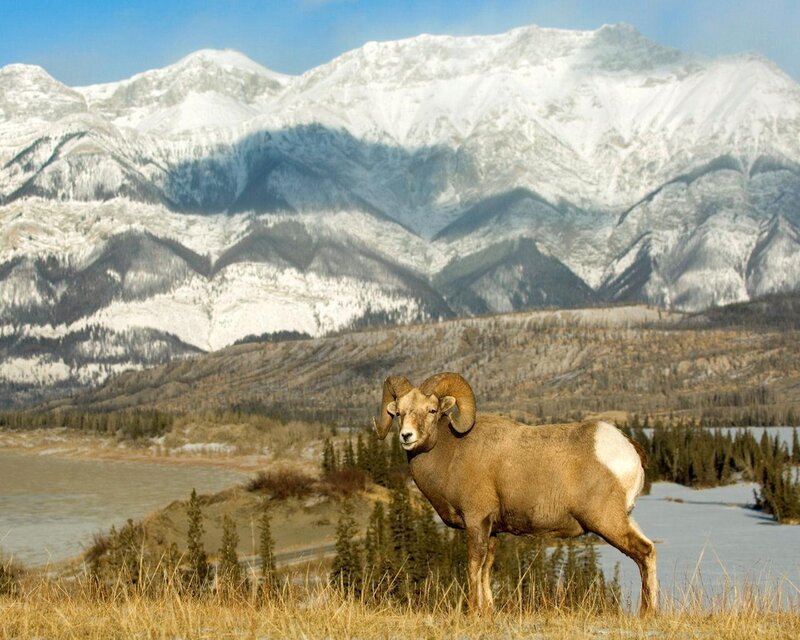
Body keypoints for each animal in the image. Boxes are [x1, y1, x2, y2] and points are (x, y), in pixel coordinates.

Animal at [373, 372, 657, 615]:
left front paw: (472, 612)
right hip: (624, 518)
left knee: (643, 552)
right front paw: (488, 612)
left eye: (432, 410)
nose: (406, 436)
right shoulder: (492, 531)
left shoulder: (476, 522)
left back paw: (646, 614)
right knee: (650, 551)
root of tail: (628, 447)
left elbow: (474, 566)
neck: (452, 452)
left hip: (606, 521)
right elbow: (486, 569)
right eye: (399, 412)